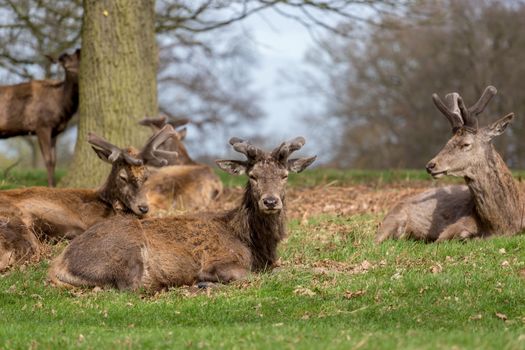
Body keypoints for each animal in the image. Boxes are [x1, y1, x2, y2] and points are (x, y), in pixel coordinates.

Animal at [0, 48, 80, 189]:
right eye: (66, 68)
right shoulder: (42, 125)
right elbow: (48, 159)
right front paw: (50, 187)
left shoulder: (55, 131)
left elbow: (54, 160)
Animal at [48, 137, 316, 290]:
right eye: (253, 176)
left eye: (284, 175)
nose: (270, 201)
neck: (253, 243)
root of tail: (59, 263)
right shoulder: (218, 262)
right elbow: (258, 277)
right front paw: (204, 282)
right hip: (126, 253)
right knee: (131, 287)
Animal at [374, 86, 520, 242]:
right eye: (448, 142)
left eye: (466, 144)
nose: (430, 165)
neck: (502, 225)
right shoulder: (457, 224)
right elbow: (443, 239)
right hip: (393, 217)